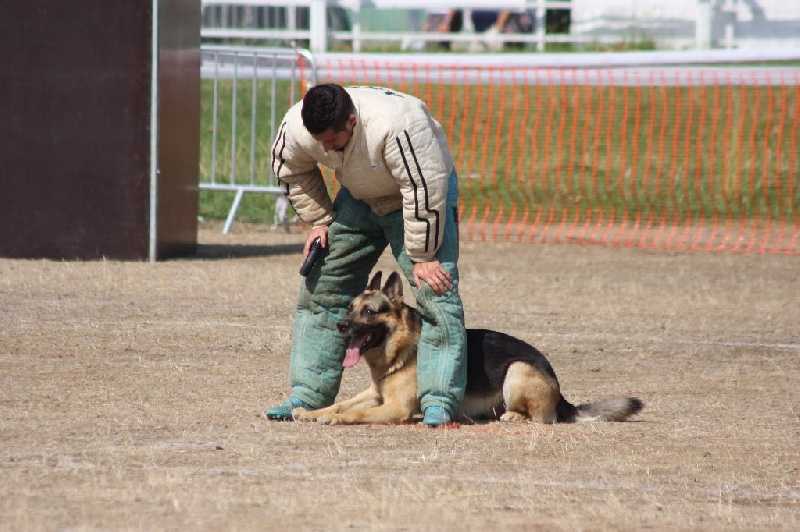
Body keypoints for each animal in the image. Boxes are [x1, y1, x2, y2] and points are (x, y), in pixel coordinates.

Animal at [294, 272, 644, 426]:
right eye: (350, 308)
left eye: (369, 312)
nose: (341, 327)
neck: (402, 348)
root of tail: (561, 394)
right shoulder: (376, 394)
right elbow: (340, 404)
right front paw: (310, 412)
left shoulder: (394, 408)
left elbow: (355, 412)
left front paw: (334, 419)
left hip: (517, 370)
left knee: (544, 419)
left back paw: (514, 417)